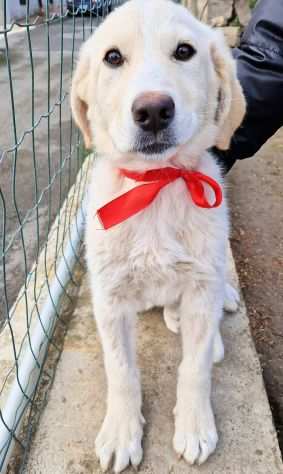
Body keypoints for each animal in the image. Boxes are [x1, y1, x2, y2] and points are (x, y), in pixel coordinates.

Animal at [71, 1, 246, 472]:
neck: (157, 185)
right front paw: (121, 432)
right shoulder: (110, 300)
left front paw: (195, 426)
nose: (152, 111)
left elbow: (196, 368)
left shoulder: (201, 286)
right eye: (113, 58)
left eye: (184, 51)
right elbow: (121, 372)